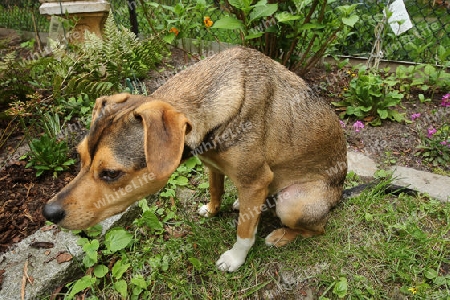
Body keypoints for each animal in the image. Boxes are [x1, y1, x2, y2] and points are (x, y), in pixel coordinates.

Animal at [44, 47, 346, 272]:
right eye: (80, 157)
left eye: (111, 173)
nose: (48, 213)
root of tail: (340, 194)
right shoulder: (213, 165)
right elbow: (215, 190)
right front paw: (212, 210)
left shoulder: (256, 179)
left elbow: (244, 231)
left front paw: (235, 259)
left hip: (292, 202)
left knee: (318, 229)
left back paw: (282, 235)